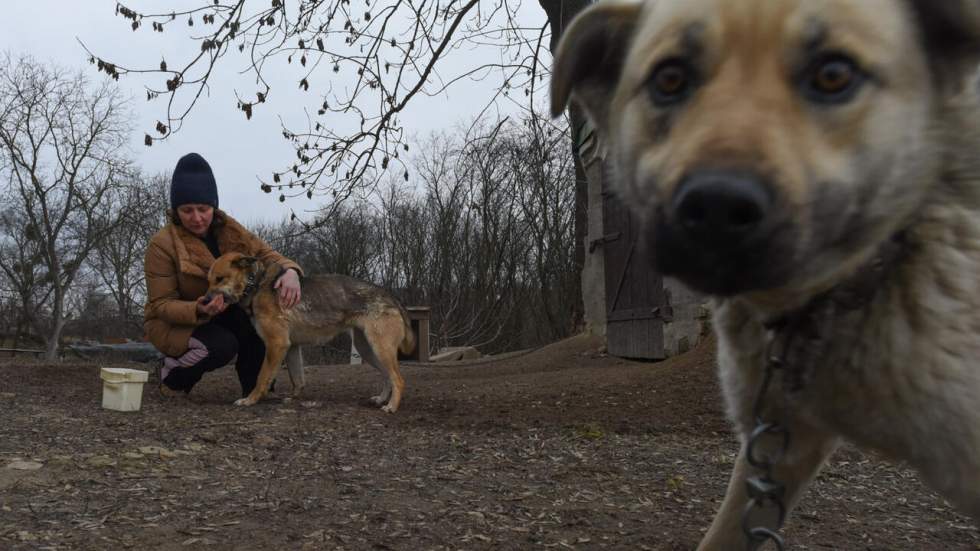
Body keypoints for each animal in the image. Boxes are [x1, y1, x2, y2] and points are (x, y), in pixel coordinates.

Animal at [207, 252, 414, 412]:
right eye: (209, 281)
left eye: (220, 279)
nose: (205, 300)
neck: (256, 284)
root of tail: (391, 296)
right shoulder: (291, 347)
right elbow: (297, 379)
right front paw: (293, 398)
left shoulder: (276, 344)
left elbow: (262, 377)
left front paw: (250, 400)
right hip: (368, 350)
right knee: (388, 376)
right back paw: (381, 399)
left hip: (380, 349)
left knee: (399, 379)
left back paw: (391, 406)